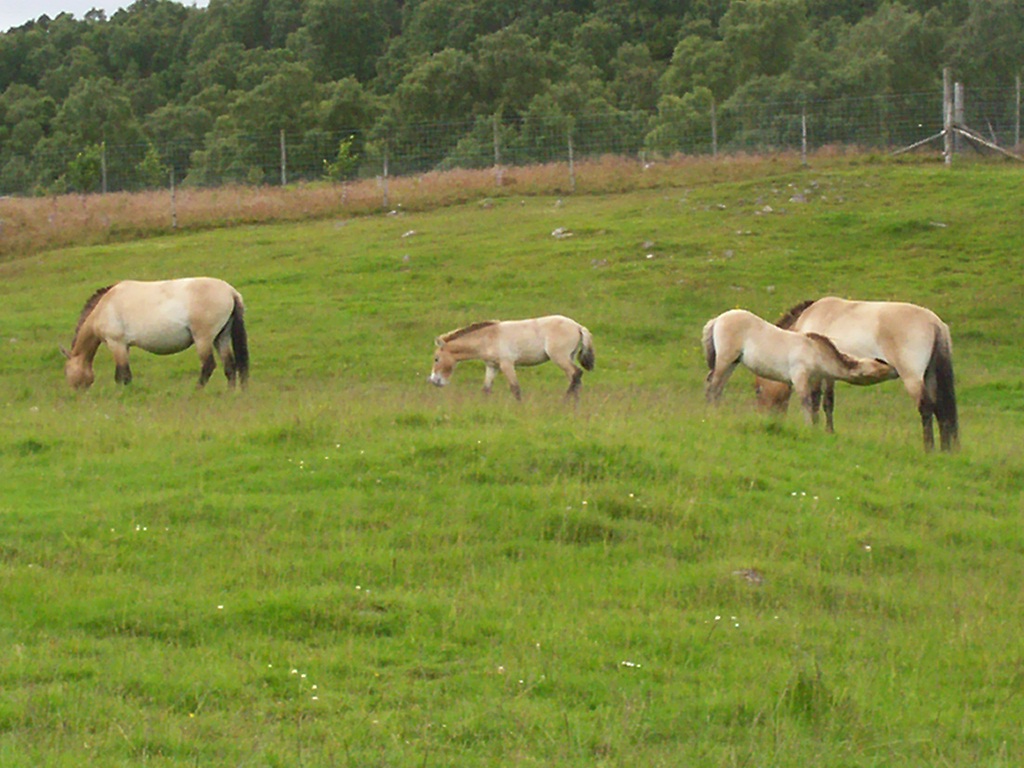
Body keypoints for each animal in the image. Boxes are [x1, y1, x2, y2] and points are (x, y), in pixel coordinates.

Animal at [62, 277, 249, 391]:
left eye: (67, 370)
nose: (77, 394)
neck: (105, 306)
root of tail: (230, 292)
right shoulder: (124, 347)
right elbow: (123, 374)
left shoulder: (117, 344)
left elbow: (122, 375)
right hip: (221, 337)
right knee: (230, 367)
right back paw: (230, 393)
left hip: (203, 339)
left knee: (209, 365)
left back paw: (196, 391)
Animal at [429, 315, 595, 400]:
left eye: (436, 359)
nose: (434, 381)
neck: (488, 338)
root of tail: (578, 326)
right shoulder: (492, 366)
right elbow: (486, 389)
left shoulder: (506, 364)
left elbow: (515, 389)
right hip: (568, 358)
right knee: (575, 380)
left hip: (559, 358)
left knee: (576, 374)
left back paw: (564, 403)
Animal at [702, 309, 896, 426]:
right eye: (881, 364)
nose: (896, 370)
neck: (816, 351)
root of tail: (718, 319)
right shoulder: (800, 378)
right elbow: (806, 402)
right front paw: (809, 427)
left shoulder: (812, 381)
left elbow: (814, 402)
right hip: (725, 360)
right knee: (713, 385)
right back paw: (711, 414)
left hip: (732, 362)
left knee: (718, 386)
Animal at [753, 297, 958, 451]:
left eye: (757, 390)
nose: (766, 421)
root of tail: (934, 323)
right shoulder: (829, 374)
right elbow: (828, 402)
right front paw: (829, 431)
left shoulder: (815, 373)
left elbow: (815, 400)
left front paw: (817, 429)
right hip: (930, 377)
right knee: (940, 410)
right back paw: (945, 450)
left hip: (913, 378)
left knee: (926, 408)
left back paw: (929, 448)